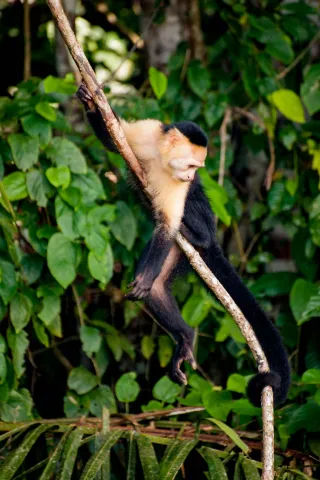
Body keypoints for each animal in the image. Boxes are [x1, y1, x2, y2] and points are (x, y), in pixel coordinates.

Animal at [77, 84, 290, 406]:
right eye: (192, 164)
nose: (192, 174)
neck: (165, 161)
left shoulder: (178, 186)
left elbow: (167, 225)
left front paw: (145, 275)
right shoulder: (148, 134)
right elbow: (116, 138)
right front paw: (91, 101)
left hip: (199, 232)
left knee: (193, 206)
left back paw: (196, 235)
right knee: (157, 290)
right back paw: (186, 337)